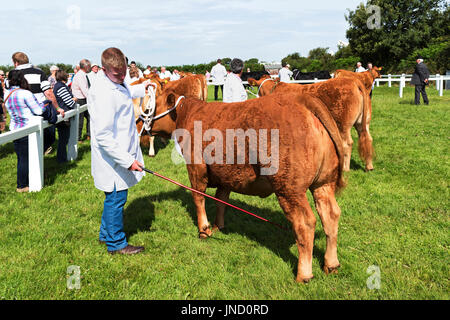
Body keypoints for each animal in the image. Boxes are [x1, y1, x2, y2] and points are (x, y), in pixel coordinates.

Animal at [151, 90, 344, 282]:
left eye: (154, 106)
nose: (146, 127)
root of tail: (300, 99)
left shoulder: (196, 166)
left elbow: (199, 198)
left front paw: (204, 230)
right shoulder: (226, 175)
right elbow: (221, 200)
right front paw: (218, 226)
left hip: (289, 188)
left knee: (305, 223)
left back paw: (303, 274)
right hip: (323, 183)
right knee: (331, 214)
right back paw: (331, 264)